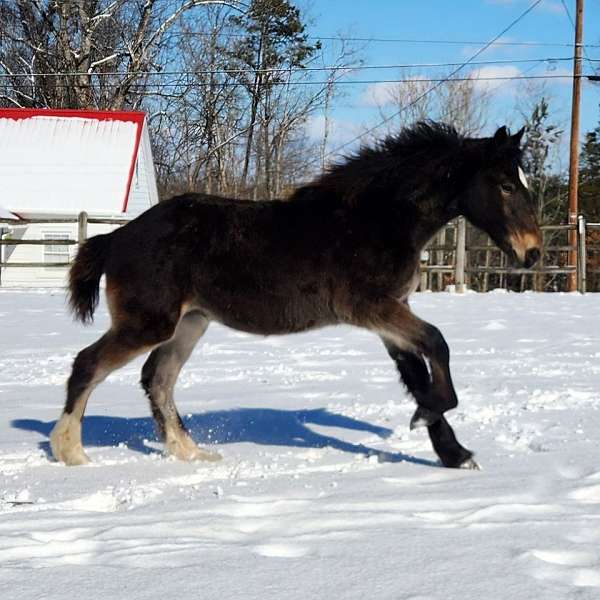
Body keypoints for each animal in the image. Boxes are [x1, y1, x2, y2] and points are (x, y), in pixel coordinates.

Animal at [49, 122, 540, 468]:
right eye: (506, 185)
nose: (532, 253)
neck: (376, 219)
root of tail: (117, 237)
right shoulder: (371, 308)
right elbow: (438, 345)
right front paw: (428, 421)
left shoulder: (391, 315)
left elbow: (419, 376)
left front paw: (455, 454)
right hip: (149, 322)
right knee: (89, 364)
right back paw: (71, 452)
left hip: (190, 322)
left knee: (158, 378)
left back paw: (190, 452)